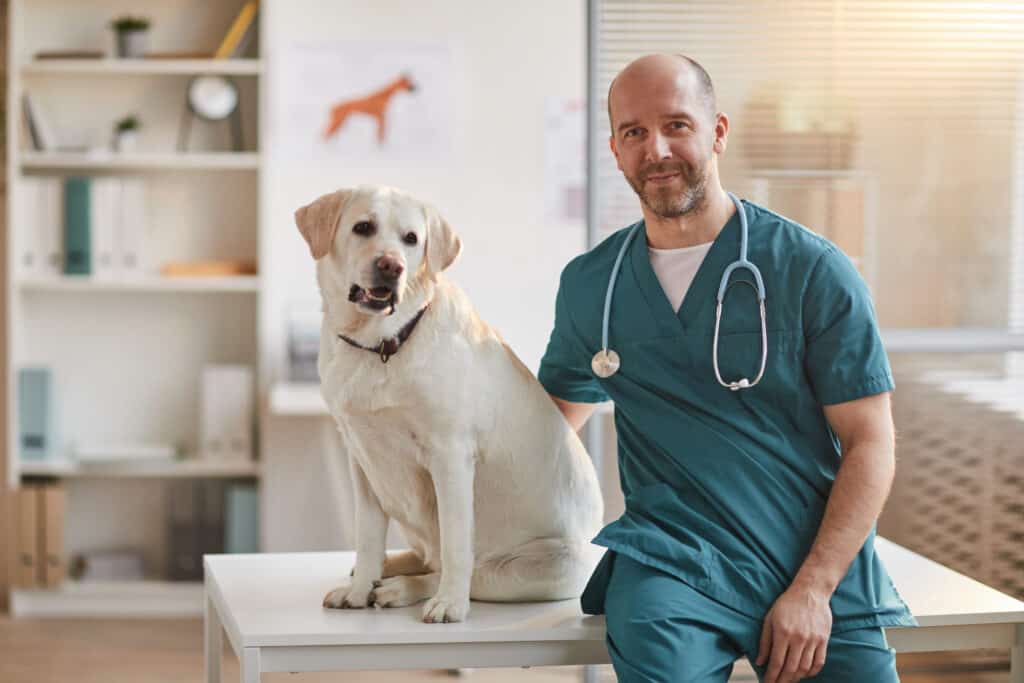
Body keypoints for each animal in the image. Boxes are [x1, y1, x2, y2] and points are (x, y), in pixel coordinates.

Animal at [292, 184, 602, 622]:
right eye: (363, 227)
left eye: (411, 239)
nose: (391, 266)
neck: (383, 344)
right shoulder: (361, 457)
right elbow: (367, 536)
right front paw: (357, 590)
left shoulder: (450, 455)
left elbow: (456, 544)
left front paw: (449, 604)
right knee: (425, 556)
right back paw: (385, 571)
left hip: (560, 563)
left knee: (465, 570)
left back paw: (406, 588)